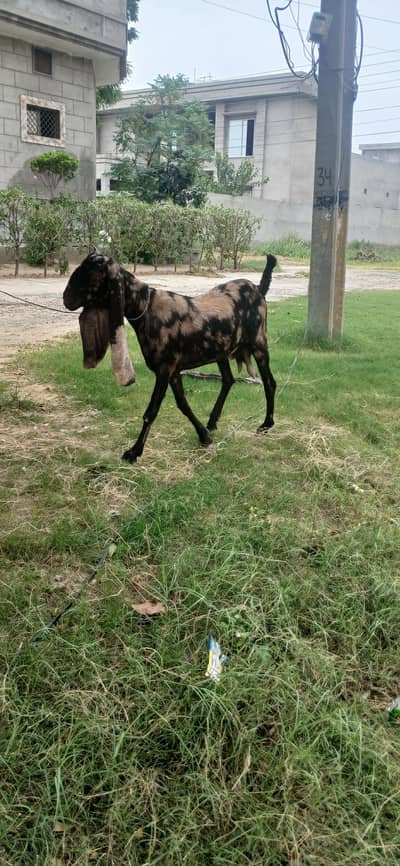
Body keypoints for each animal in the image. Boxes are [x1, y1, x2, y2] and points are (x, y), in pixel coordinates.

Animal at [63, 253, 277, 463]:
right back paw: (212, 423)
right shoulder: (173, 370)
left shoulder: (164, 368)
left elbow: (151, 411)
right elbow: (183, 404)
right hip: (221, 351)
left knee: (269, 382)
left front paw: (134, 452)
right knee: (228, 380)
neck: (146, 309)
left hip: (259, 343)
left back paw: (266, 424)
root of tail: (258, 289)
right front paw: (204, 436)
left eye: (93, 275)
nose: (66, 298)